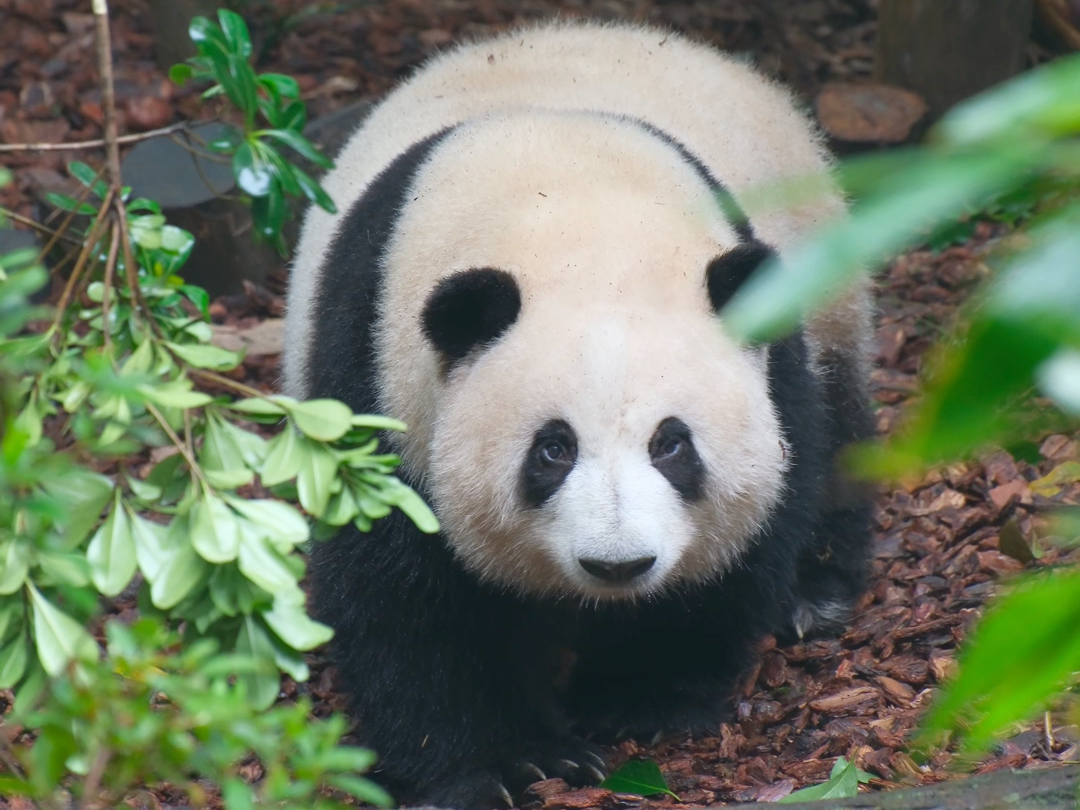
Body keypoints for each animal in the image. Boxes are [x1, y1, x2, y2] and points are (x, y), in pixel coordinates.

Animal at [282, 19, 872, 810]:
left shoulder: (767, 354)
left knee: (843, 422)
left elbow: (753, 528)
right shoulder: (374, 364)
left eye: (672, 445)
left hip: (823, 280)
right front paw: (496, 764)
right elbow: (402, 592)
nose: (617, 564)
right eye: (552, 449)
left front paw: (636, 699)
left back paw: (815, 595)